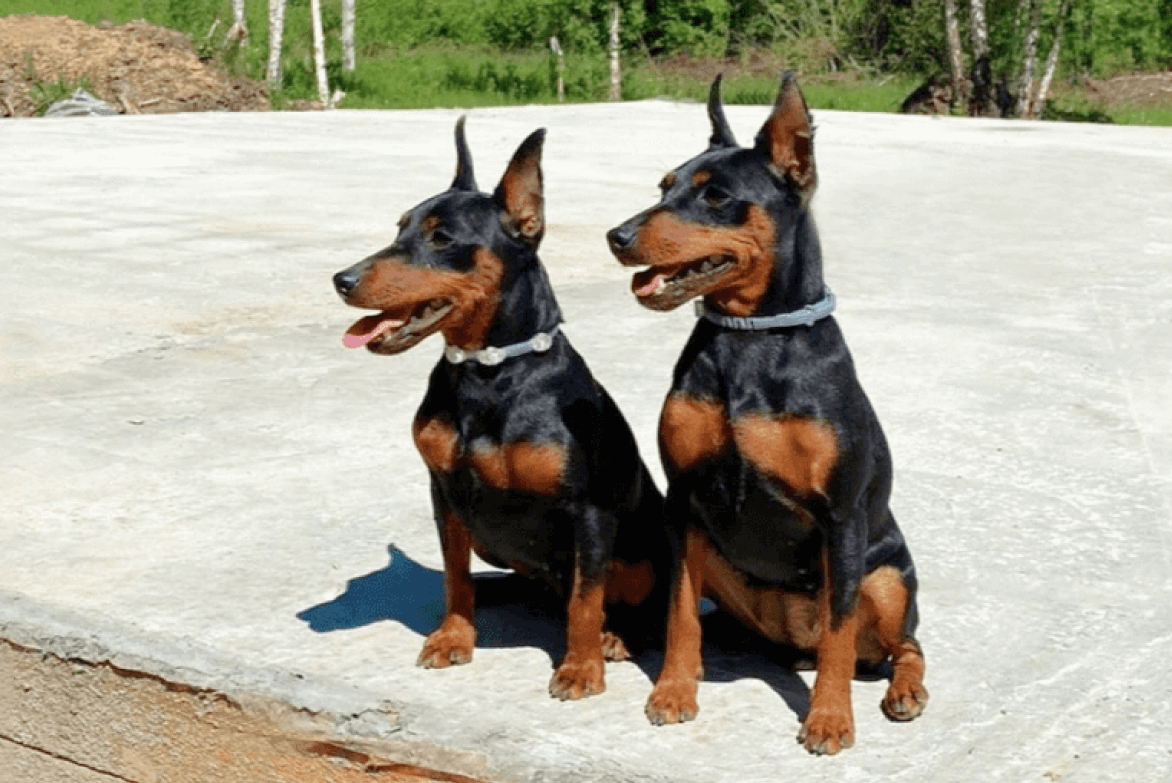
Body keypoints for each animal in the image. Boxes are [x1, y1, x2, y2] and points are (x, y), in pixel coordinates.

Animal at [335, 120, 665, 698]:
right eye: (399, 229)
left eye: (443, 239)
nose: (342, 280)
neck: (488, 372)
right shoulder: (446, 493)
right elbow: (454, 575)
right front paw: (453, 637)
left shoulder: (590, 511)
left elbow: (585, 599)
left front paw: (580, 667)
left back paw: (615, 636)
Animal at [609, 77, 928, 750]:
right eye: (663, 186)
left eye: (717, 196)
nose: (617, 236)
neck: (748, 341)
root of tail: (790, 642)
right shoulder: (684, 499)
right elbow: (680, 612)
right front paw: (673, 690)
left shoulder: (840, 516)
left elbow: (838, 631)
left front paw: (829, 717)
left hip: (887, 575)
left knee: (903, 644)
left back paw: (904, 691)